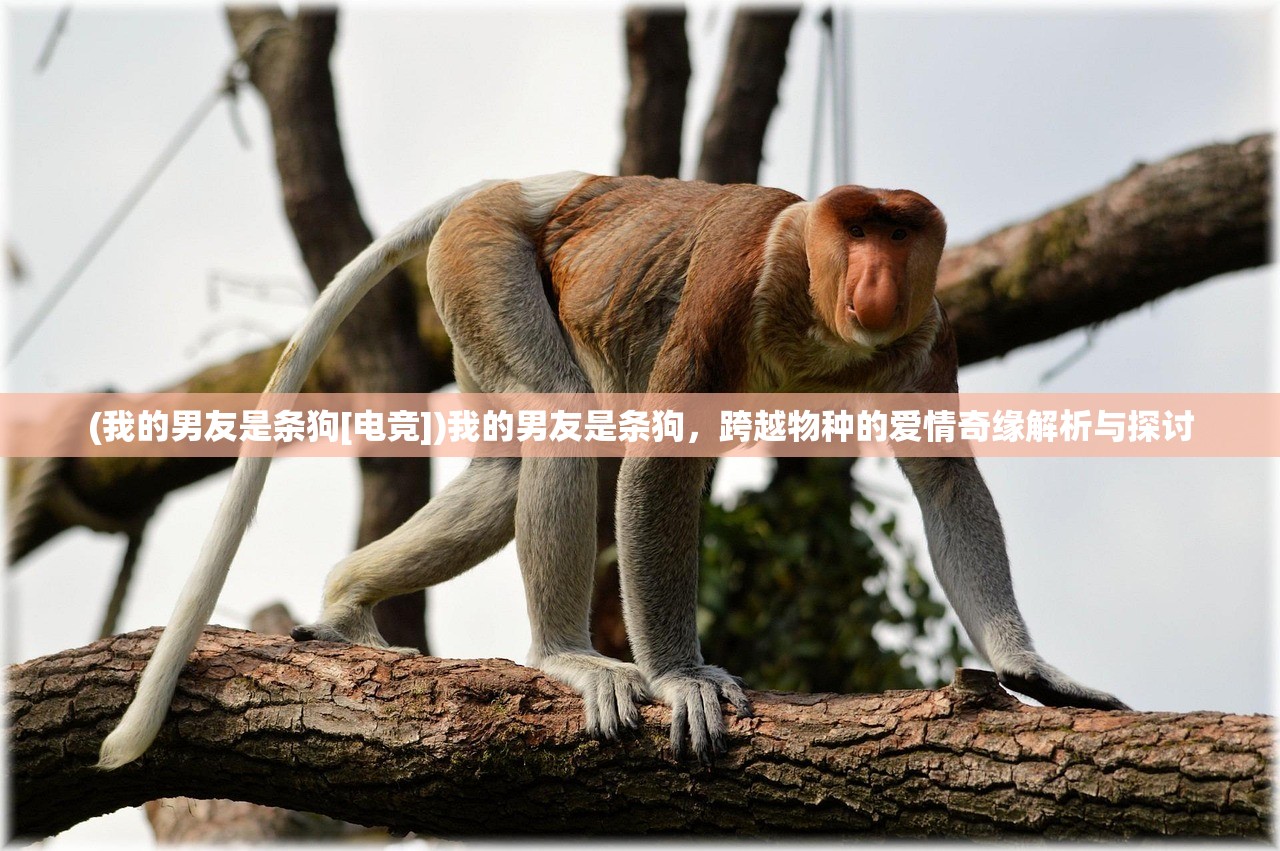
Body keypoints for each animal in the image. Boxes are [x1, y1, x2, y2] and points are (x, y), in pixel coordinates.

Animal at [97, 168, 1121, 767]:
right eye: (860, 230)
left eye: (900, 234)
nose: (875, 276)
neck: (818, 308)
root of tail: (517, 182)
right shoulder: (730, 282)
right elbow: (659, 461)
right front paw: (681, 679)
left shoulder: (924, 334)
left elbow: (945, 478)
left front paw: (1034, 668)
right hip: (484, 258)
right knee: (561, 420)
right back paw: (567, 657)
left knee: (514, 469)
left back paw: (347, 601)